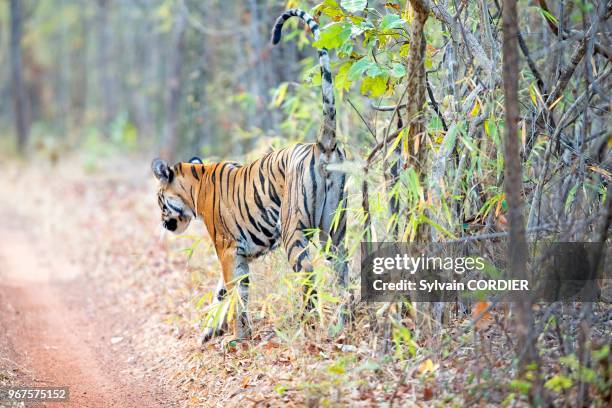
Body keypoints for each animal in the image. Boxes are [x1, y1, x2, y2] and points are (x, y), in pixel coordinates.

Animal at [151, 8, 346, 342]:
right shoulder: (241, 253)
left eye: (159, 200)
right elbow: (220, 293)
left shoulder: (228, 249)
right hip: (335, 229)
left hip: (293, 230)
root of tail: (322, 144)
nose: (164, 223)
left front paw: (237, 335)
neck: (194, 187)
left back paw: (308, 324)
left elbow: (235, 294)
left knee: (308, 275)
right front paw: (210, 331)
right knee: (346, 270)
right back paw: (348, 318)